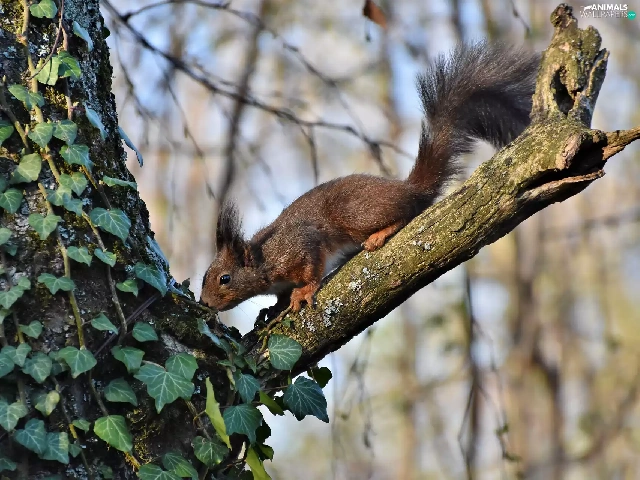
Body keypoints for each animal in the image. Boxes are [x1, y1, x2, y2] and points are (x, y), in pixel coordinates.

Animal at [201, 42, 539, 315]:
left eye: (224, 278)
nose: (204, 303)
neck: (263, 258)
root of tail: (408, 188)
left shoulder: (298, 247)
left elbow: (311, 267)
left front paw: (303, 292)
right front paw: (273, 308)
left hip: (355, 213)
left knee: (405, 213)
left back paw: (380, 234)